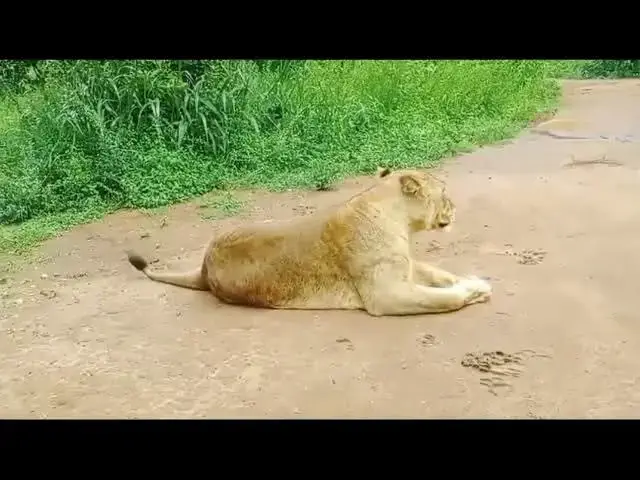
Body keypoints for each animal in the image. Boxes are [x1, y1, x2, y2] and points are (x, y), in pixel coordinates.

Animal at [127, 167, 491, 316]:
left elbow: (441, 274)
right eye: (444, 192)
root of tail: (203, 265)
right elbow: (443, 299)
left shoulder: (406, 268)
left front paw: (476, 282)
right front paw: (470, 293)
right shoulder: (386, 295)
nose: (455, 207)